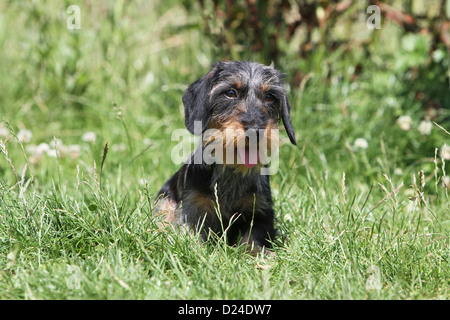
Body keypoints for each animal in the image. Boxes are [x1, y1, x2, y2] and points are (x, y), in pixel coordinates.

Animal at [155, 61, 296, 254]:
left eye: (270, 96)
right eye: (230, 93)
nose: (255, 129)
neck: (232, 170)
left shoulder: (261, 212)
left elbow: (254, 240)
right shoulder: (192, 209)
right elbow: (191, 238)